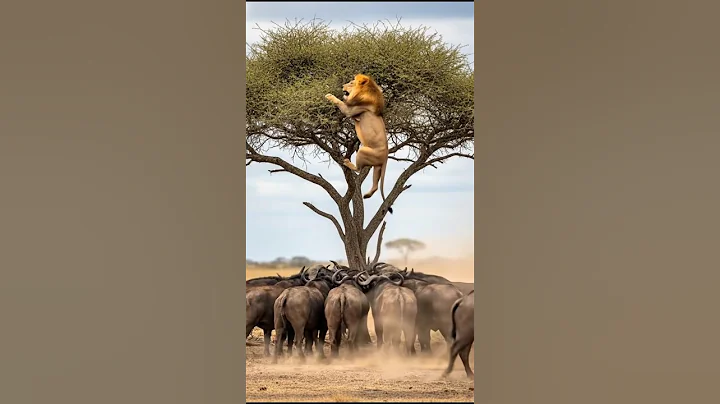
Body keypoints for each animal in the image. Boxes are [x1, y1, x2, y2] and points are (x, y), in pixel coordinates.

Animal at [325, 74, 393, 214]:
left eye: (351, 83)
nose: (342, 86)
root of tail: (385, 157)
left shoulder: (350, 110)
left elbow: (340, 102)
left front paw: (329, 95)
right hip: (377, 167)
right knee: (375, 184)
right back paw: (367, 195)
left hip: (363, 151)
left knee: (358, 169)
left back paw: (347, 163)